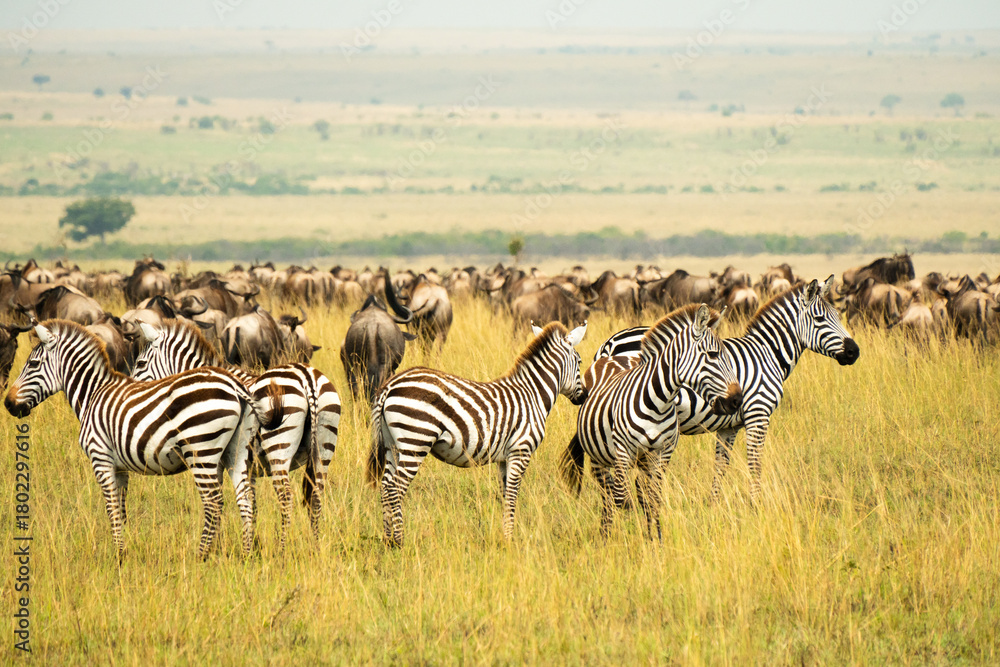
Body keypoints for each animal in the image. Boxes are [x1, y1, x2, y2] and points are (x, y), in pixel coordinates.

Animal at [3, 320, 278, 561]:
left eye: (33, 363)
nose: (8, 404)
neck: (92, 395)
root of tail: (235, 385)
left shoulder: (100, 459)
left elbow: (111, 508)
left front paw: (118, 557)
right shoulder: (120, 467)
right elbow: (121, 508)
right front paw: (124, 551)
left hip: (202, 450)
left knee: (213, 501)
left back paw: (201, 556)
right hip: (236, 451)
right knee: (245, 498)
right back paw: (246, 554)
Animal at [132, 319, 341, 550]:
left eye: (140, 363)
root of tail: (307, 377)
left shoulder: (216, 459)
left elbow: (220, 502)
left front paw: (218, 546)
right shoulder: (250, 467)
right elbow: (252, 503)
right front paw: (253, 544)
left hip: (278, 445)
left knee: (286, 497)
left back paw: (282, 548)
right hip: (324, 445)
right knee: (316, 496)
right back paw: (316, 546)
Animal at [366, 321, 588, 547]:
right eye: (579, 361)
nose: (584, 396)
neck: (532, 395)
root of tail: (390, 385)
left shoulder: (504, 457)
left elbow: (504, 494)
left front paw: (504, 536)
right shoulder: (521, 451)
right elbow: (513, 495)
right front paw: (510, 538)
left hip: (392, 445)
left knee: (385, 486)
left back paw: (388, 540)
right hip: (416, 441)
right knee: (395, 488)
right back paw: (400, 541)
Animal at [566, 304, 742, 539]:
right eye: (712, 355)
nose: (737, 400)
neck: (659, 402)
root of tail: (608, 355)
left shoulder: (663, 451)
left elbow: (654, 495)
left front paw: (655, 538)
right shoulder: (623, 452)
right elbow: (620, 498)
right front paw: (623, 540)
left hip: (642, 460)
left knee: (635, 490)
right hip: (599, 457)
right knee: (607, 494)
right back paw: (605, 535)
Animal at [581, 276, 859, 502]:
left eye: (838, 316)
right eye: (820, 319)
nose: (854, 351)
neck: (767, 354)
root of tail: (609, 343)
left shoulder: (729, 426)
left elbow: (720, 466)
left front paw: (714, 505)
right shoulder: (758, 415)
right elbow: (755, 464)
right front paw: (755, 506)